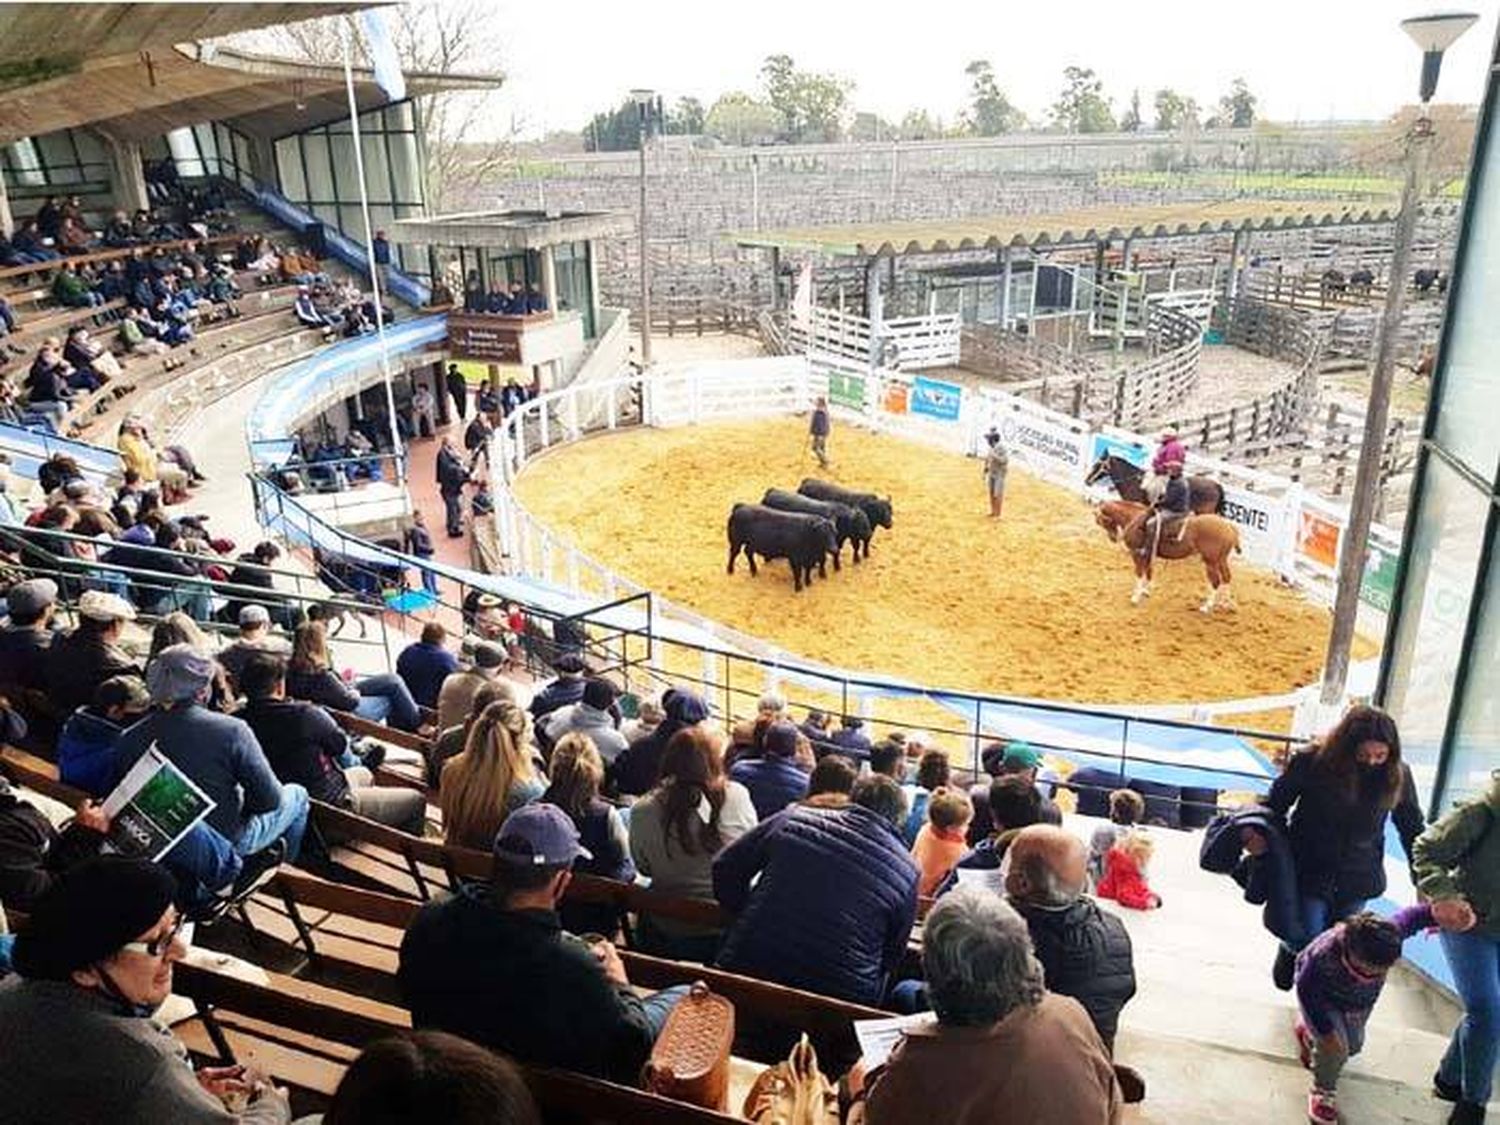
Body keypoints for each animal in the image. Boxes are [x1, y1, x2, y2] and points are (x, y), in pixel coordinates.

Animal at [1098, 501, 1248, 612]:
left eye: (1103, 521)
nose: (1113, 538)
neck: (1136, 520)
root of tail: (1228, 527)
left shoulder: (1137, 554)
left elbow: (1140, 573)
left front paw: (1135, 597)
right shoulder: (1147, 555)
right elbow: (1149, 571)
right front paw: (1146, 591)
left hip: (1211, 562)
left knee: (1216, 581)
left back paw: (1207, 607)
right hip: (1221, 560)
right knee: (1226, 577)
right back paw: (1225, 603)